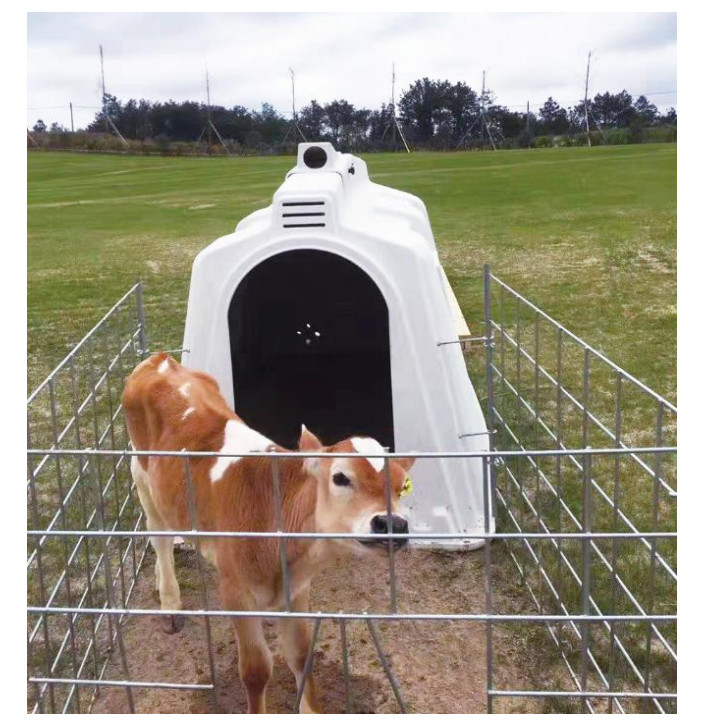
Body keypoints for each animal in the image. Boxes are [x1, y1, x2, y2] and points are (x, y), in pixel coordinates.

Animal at [122, 352, 415, 714]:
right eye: (340, 477)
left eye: (404, 485)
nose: (393, 524)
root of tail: (160, 360)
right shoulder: (236, 592)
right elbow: (256, 669)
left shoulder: (298, 590)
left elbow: (302, 656)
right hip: (141, 474)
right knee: (159, 536)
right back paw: (170, 604)